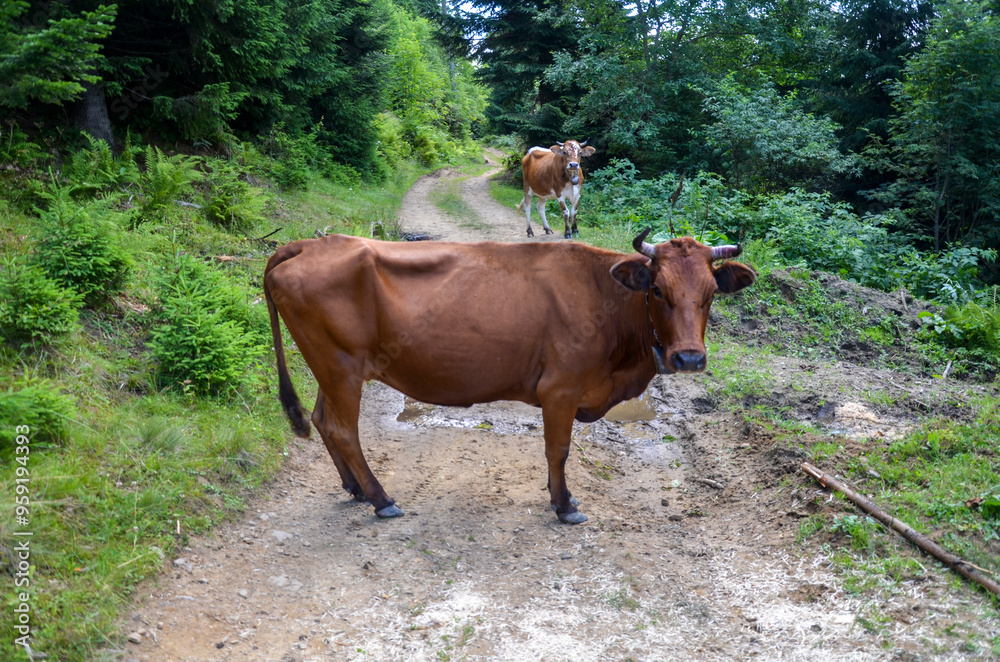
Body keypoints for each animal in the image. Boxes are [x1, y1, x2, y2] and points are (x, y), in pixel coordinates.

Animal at [262, 231, 752, 528]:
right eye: (656, 290)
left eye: (711, 294)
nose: (688, 357)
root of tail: (308, 244)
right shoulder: (560, 389)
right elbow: (558, 449)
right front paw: (564, 505)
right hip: (341, 366)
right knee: (344, 429)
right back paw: (381, 499)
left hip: (329, 367)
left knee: (323, 420)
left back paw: (356, 490)